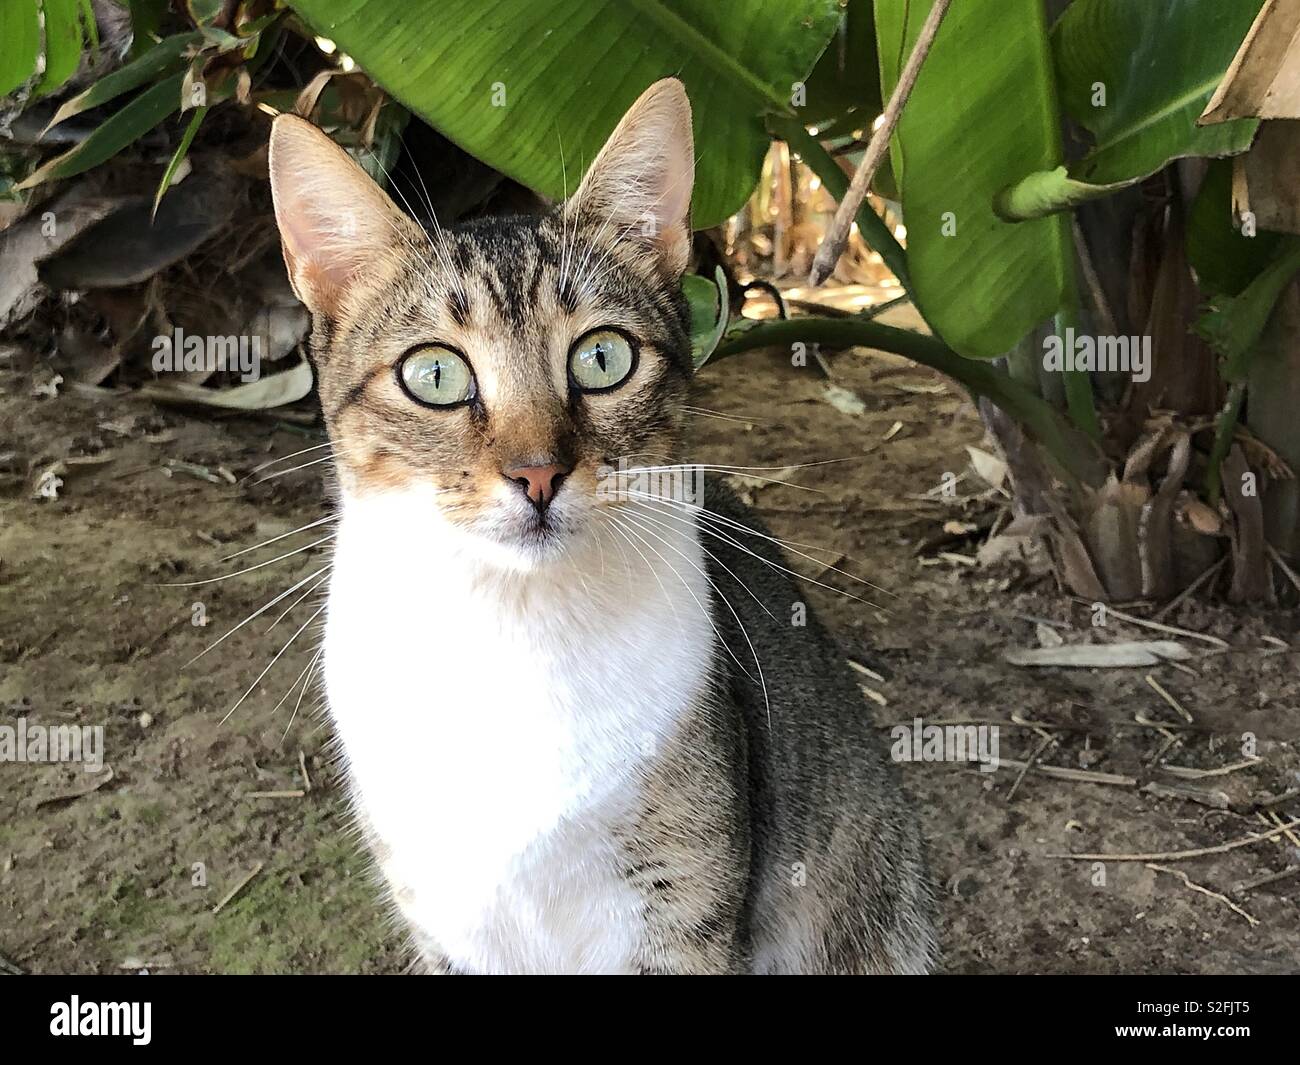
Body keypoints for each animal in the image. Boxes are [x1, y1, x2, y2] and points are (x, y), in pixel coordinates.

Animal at [266, 77, 935, 972]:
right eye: (434, 374)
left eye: (603, 358)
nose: (538, 472)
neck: (515, 630)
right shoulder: (445, 918)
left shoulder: (686, 904)